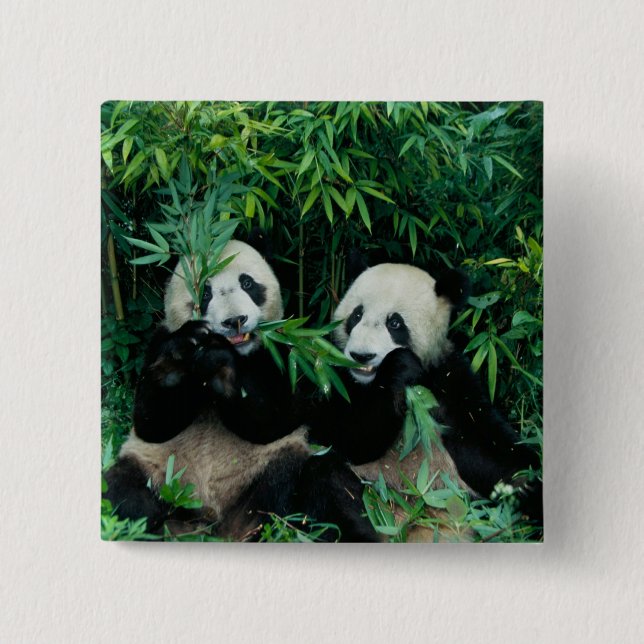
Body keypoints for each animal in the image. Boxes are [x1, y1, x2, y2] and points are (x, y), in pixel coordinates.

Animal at [103, 236, 376, 541]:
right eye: (205, 293)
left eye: (247, 283)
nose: (234, 320)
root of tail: (219, 524)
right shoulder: (157, 343)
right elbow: (150, 422)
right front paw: (178, 360)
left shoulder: (286, 354)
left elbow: (276, 418)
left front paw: (222, 365)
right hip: (158, 475)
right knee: (122, 493)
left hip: (279, 469)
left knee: (327, 484)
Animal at [305, 256, 542, 531]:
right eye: (356, 315)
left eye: (395, 323)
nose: (361, 355)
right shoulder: (332, 374)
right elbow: (341, 435)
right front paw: (399, 366)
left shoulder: (449, 381)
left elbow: (488, 450)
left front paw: (532, 486)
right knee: (327, 481)